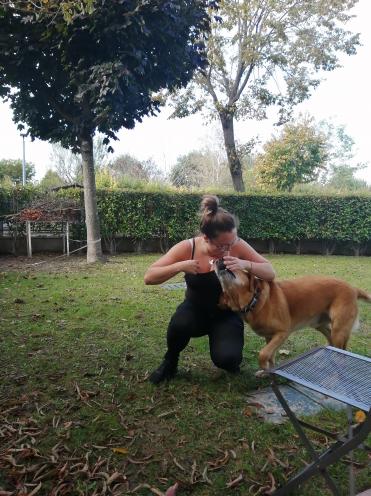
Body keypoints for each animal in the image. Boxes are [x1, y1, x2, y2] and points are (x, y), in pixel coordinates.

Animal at [215, 262, 371, 374]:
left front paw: (265, 368)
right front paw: (268, 372)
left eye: (235, 264)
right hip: (321, 326)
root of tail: (353, 288)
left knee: (342, 352)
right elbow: (270, 356)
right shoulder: (269, 337)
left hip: (339, 330)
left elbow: (263, 354)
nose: (217, 260)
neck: (255, 300)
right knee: (333, 344)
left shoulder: (282, 333)